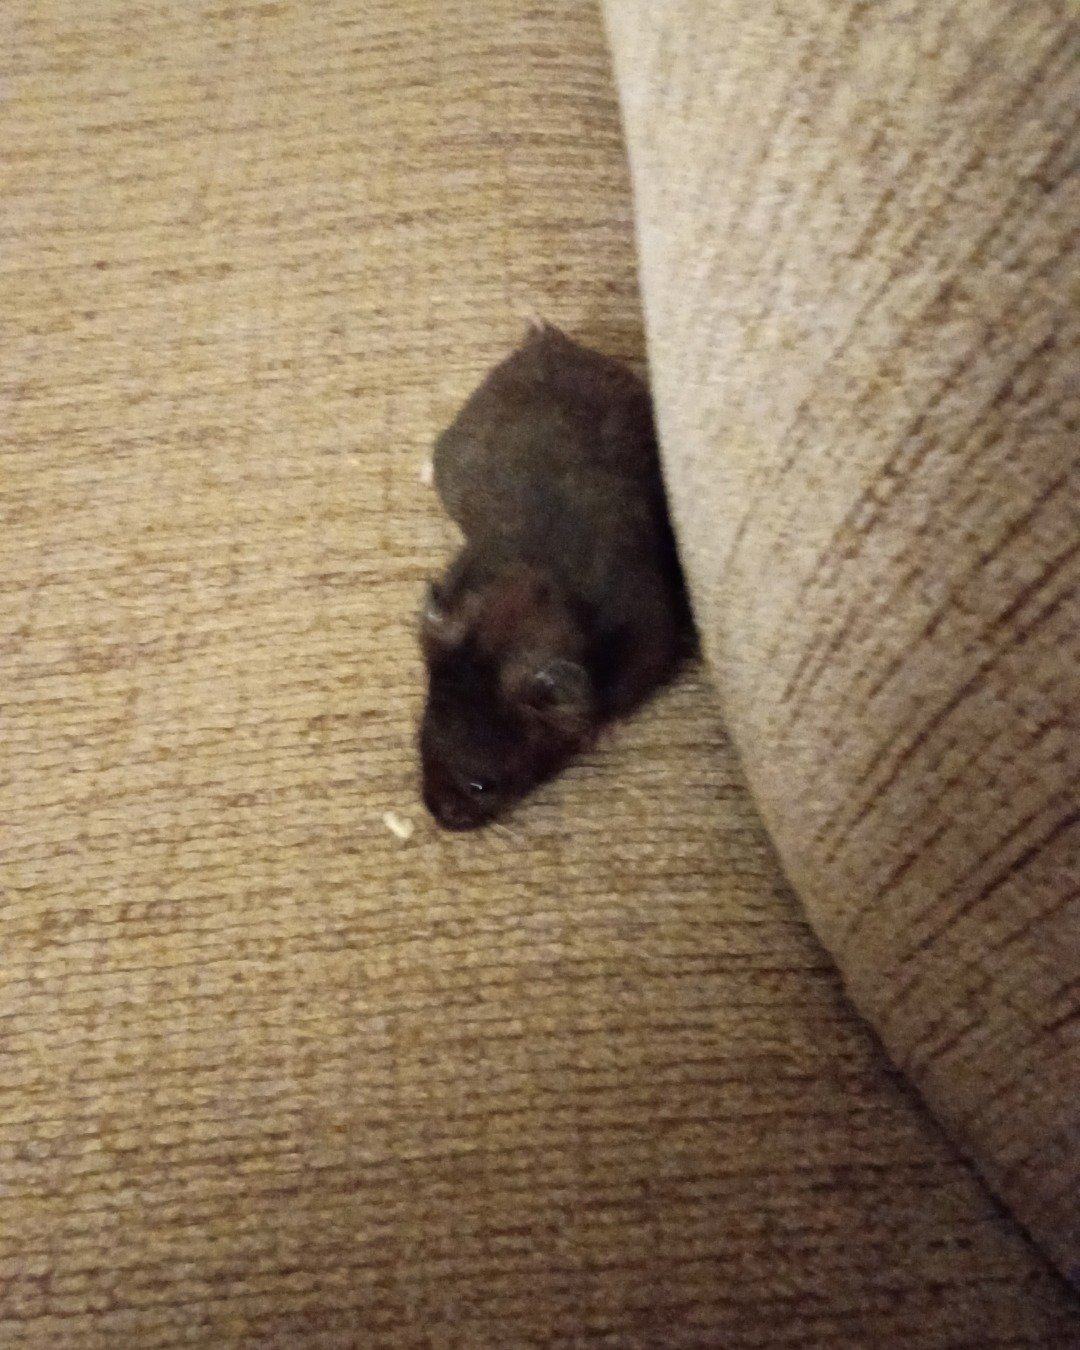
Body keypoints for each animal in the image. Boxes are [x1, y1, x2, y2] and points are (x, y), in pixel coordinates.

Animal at [419, 319, 693, 830]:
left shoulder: (651, 638)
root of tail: (544, 339)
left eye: (482, 786)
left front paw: (603, 733)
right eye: (421, 744)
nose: (439, 819)